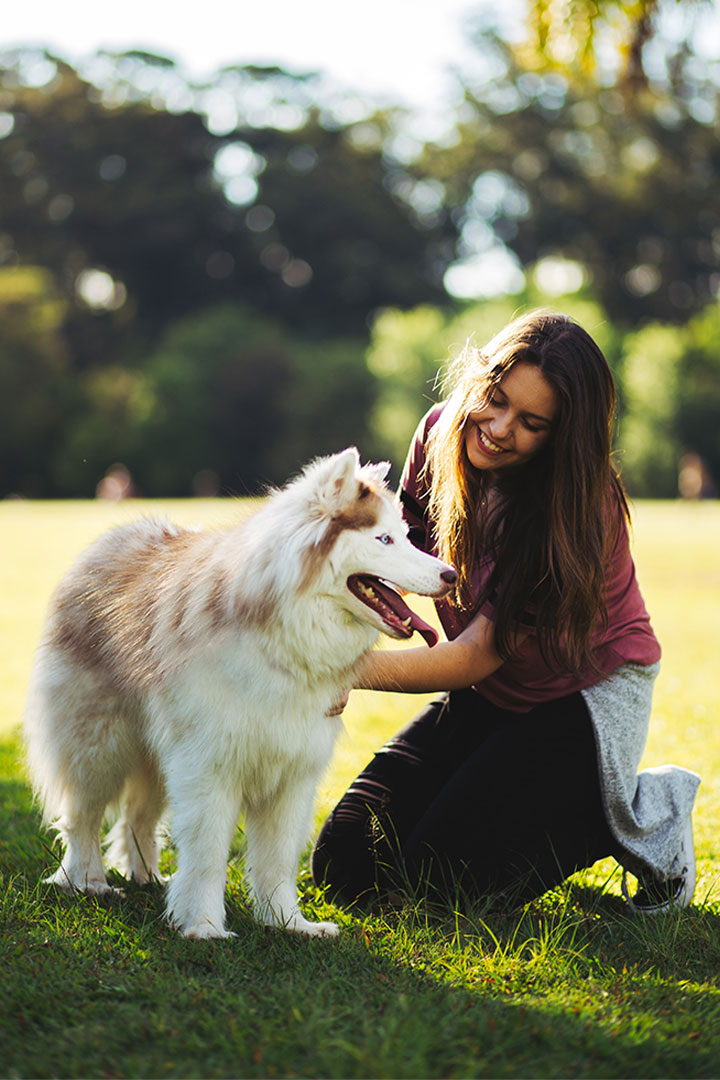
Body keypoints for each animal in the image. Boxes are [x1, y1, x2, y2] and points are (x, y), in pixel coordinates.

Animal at [28, 447, 459, 937]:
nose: (451, 574)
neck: (287, 639)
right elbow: (207, 854)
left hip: (155, 757)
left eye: (406, 536)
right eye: (384, 539)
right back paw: (86, 882)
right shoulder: (208, 767)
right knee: (83, 817)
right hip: (99, 746)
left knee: (137, 817)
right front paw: (203, 925)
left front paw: (288, 922)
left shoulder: (292, 774)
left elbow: (277, 861)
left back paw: (147, 877)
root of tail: (112, 538)